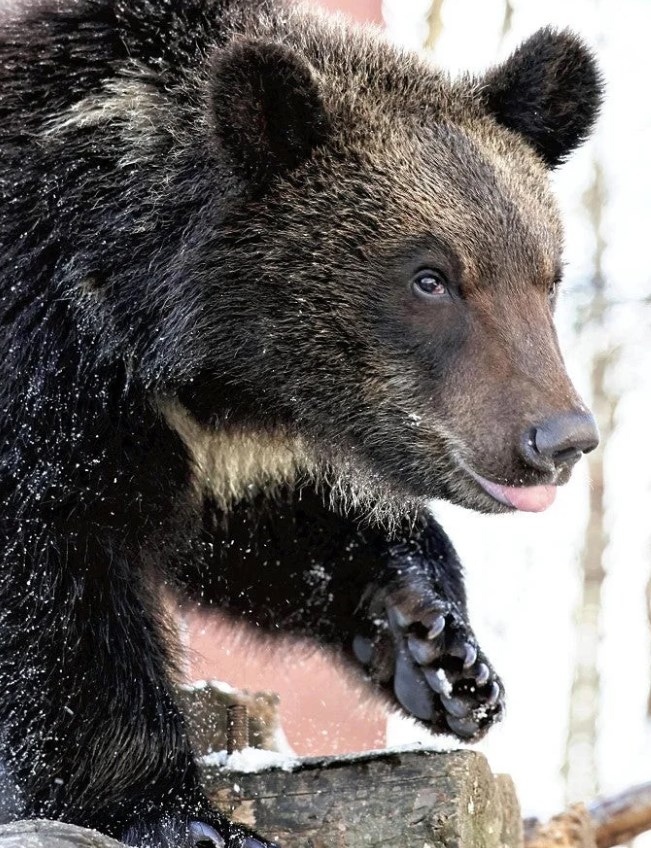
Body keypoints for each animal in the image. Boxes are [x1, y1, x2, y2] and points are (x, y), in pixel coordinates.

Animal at [0, 0, 600, 844]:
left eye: (546, 275)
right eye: (430, 277)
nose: (559, 437)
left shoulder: (222, 440)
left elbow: (274, 530)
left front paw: (441, 652)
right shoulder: (50, 376)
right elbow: (65, 593)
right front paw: (173, 809)